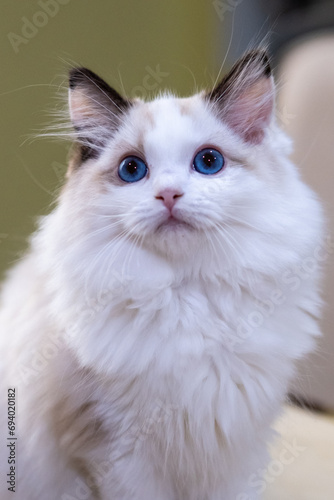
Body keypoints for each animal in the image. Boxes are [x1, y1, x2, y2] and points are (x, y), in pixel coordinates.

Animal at [0, 47, 324, 500]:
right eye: (132, 170)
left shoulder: (236, 450)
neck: (188, 297)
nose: (169, 195)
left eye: (208, 162)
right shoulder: (117, 455)